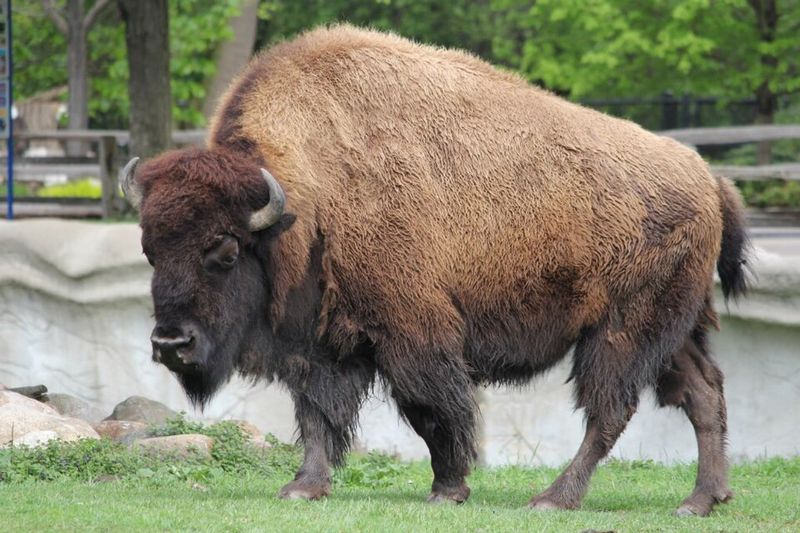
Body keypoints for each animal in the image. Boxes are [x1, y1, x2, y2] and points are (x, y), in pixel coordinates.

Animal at [121, 25, 748, 516]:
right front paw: (304, 487)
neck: (306, 196)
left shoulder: (412, 332)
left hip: (621, 330)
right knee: (703, 394)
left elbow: (431, 409)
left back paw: (554, 498)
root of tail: (706, 177)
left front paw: (448, 488)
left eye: (224, 250)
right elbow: (316, 413)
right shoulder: (319, 340)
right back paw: (700, 500)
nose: (171, 343)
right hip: (676, 329)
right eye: (149, 249)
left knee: (610, 409)